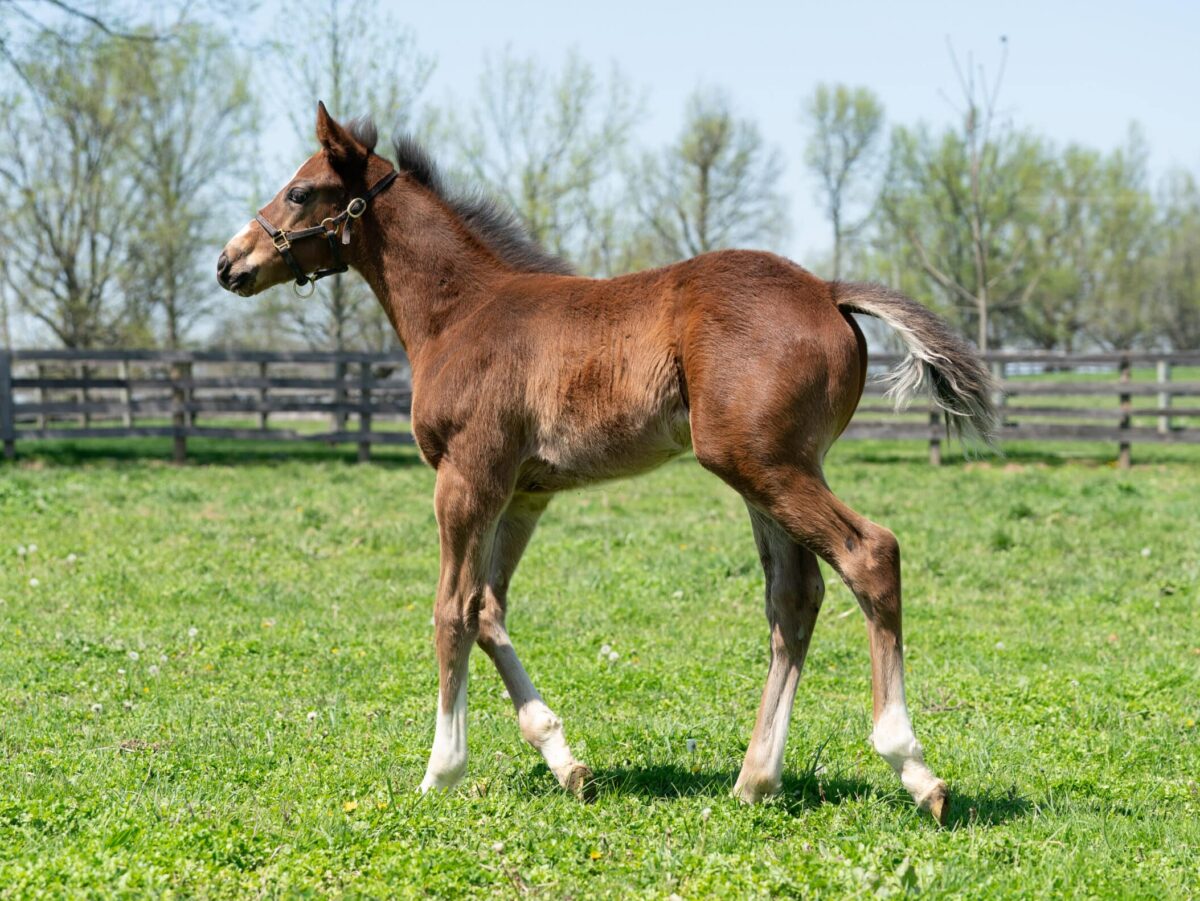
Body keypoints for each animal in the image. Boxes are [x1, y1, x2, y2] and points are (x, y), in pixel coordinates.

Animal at [220, 103, 998, 825]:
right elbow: (488, 608)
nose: (229, 263)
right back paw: (755, 778)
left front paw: (441, 770)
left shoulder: (466, 476)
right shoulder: (524, 492)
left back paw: (912, 767)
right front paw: (566, 762)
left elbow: (450, 610)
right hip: (769, 469)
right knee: (794, 597)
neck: (460, 314)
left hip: (763, 464)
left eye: (299, 191)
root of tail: (829, 291)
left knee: (871, 553)